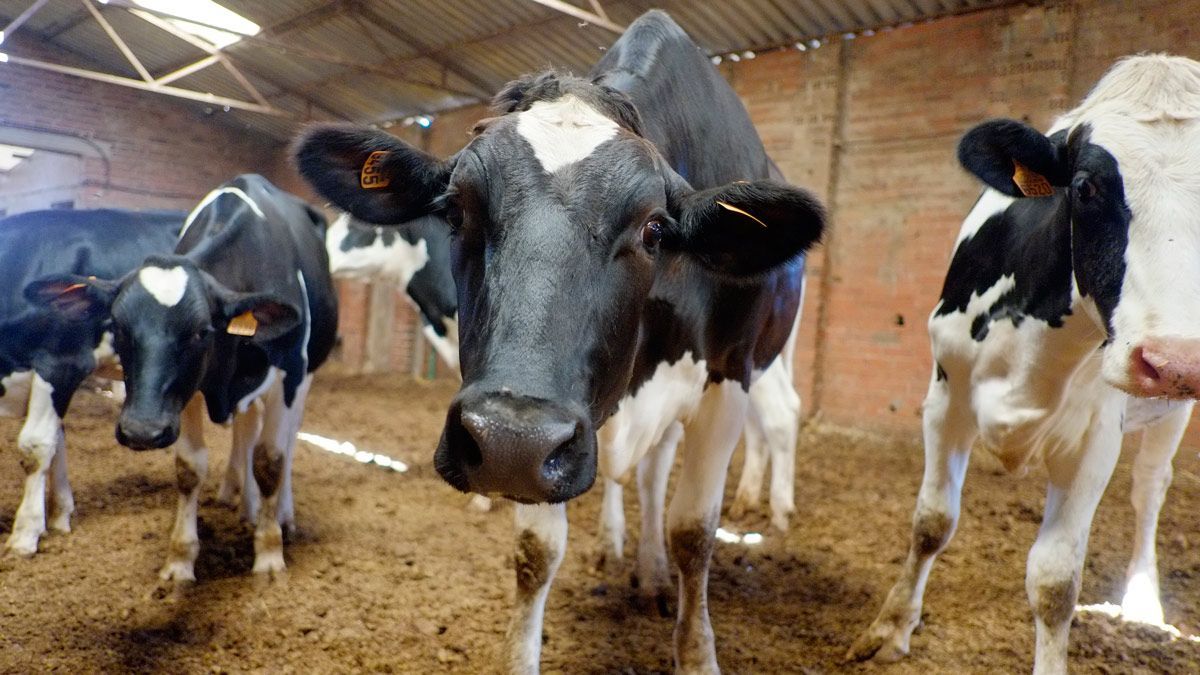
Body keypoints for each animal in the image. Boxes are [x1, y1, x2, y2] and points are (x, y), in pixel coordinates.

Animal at [28, 174, 338, 578]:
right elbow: (190, 467)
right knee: (246, 430)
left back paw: (282, 514)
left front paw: (270, 555)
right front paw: (180, 559)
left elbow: (270, 460)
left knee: (288, 439)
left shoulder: (289, 373)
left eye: (201, 332)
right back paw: (245, 504)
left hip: (306, 376)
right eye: (118, 326)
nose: (141, 431)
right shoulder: (183, 393)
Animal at [296, 9, 830, 667]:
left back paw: (759, 518)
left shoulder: (727, 377)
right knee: (645, 472)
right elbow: (537, 551)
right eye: (456, 208)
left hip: (769, 360)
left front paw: (698, 653)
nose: (510, 439)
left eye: (655, 228)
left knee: (766, 423)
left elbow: (692, 531)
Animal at [849, 53, 1200, 672]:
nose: (1175, 360)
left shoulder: (1095, 437)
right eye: (1084, 187)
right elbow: (931, 523)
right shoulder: (946, 397)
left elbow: (1056, 580)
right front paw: (890, 627)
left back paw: (1143, 602)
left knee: (1150, 487)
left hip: (1171, 409)